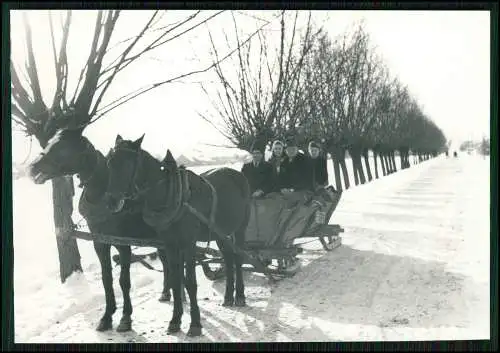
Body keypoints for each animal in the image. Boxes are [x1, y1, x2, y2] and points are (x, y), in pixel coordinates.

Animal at [29, 128, 175, 332]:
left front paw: (125, 318)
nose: (33, 168)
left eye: (63, 148)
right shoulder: (100, 242)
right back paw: (166, 292)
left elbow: (124, 281)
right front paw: (107, 317)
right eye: (50, 143)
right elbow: (107, 279)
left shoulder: (123, 245)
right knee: (166, 262)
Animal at [106, 134, 254, 336]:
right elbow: (176, 280)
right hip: (220, 232)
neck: (170, 195)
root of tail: (238, 175)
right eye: (110, 162)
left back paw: (239, 295)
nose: (111, 201)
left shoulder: (188, 243)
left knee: (238, 258)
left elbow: (190, 282)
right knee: (228, 257)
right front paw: (175, 320)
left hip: (240, 228)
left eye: (128, 164)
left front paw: (195, 324)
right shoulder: (170, 244)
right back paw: (228, 296)